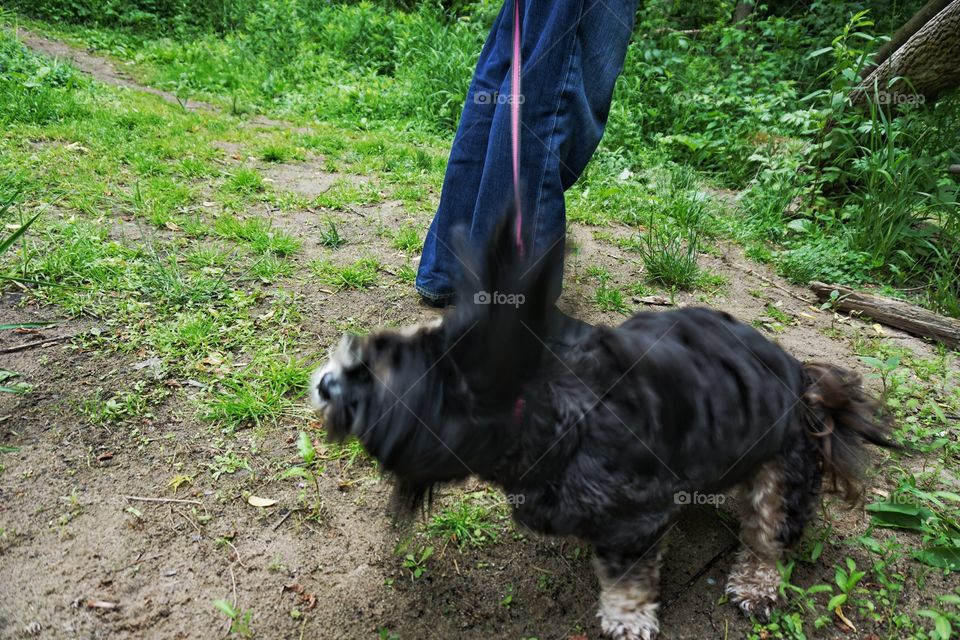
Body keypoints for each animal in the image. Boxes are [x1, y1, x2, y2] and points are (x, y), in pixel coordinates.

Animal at [310, 212, 892, 636]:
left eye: (376, 374)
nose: (323, 381)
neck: (548, 416)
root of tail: (804, 382)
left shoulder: (635, 520)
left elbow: (628, 578)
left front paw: (627, 619)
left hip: (783, 474)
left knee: (769, 535)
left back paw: (757, 583)